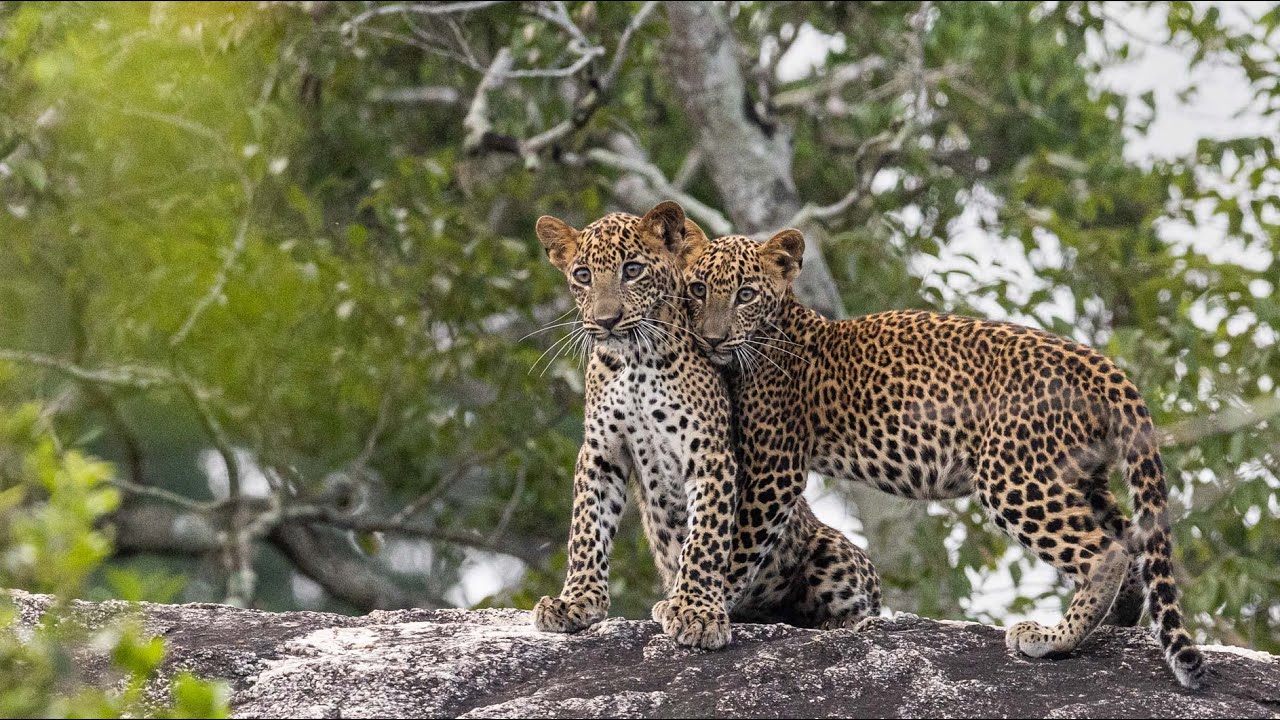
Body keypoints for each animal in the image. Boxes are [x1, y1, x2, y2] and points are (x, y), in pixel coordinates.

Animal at [529, 202, 881, 647]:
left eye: (632, 270)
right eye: (583, 275)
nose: (607, 320)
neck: (634, 359)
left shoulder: (709, 453)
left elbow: (706, 538)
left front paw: (695, 612)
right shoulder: (601, 453)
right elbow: (587, 528)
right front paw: (576, 601)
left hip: (834, 555)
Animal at [678, 228, 1206, 689]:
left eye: (745, 294)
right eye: (698, 289)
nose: (711, 338)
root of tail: (1100, 364)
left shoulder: (774, 465)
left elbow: (740, 542)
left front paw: (698, 610)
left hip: (1013, 474)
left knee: (1105, 552)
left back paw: (1052, 638)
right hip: (1079, 475)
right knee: (1130, 542)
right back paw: (1114, 624)